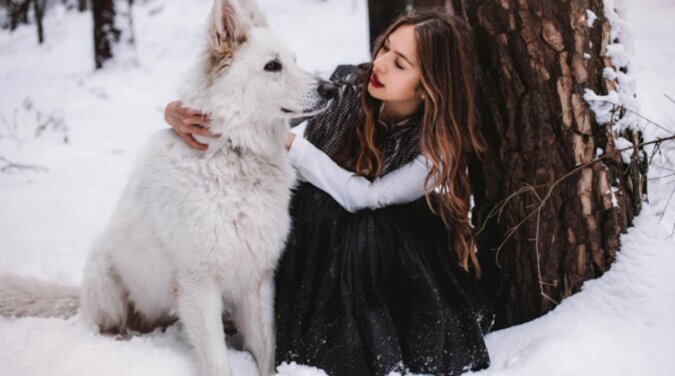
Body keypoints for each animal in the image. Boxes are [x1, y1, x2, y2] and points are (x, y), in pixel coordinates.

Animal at [0, 0, 336, 376]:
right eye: (273, 66)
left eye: (294, 60)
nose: (331, 89)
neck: (233, 150)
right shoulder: (199, 284)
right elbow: (218, 362)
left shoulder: (257, 279)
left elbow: (267, 352)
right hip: (106, 277)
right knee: (107, 324)